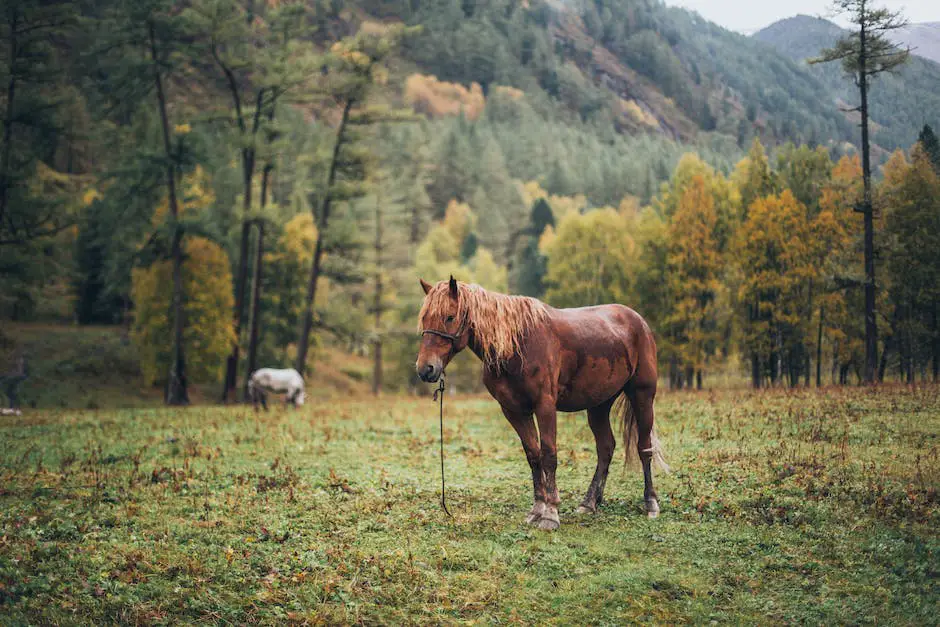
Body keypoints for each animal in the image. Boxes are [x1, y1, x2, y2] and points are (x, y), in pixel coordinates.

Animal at [416, 278, 668, 528]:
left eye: (450, 317)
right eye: (425, 318)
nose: (425, 369)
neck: (517, 346)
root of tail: (638, 321)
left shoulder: (545, 407)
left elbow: (549, 454)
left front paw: (550, 514)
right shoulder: (514, 411)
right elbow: (533, 455)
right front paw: (537, 509)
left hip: (642, 396)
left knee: (644, 448)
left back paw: (651, 504)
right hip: (599, 405)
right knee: (606, 447)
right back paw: (589, 503)